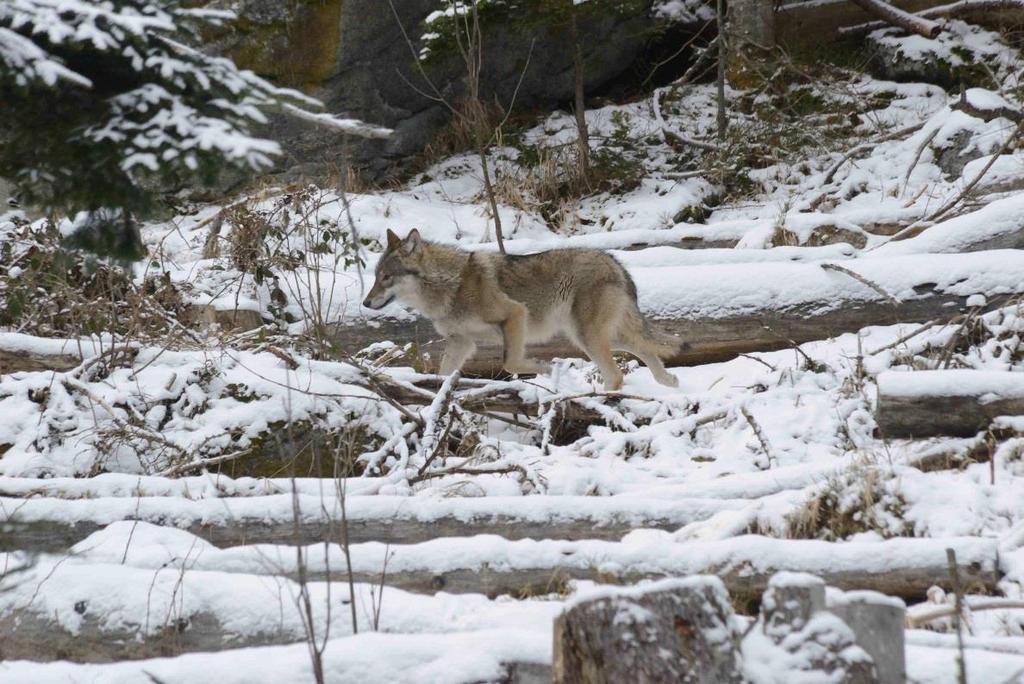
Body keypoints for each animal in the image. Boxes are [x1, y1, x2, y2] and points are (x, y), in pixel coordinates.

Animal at [360, 229, 679, 389]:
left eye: (386, 277)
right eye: (376, 277)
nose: (365, 303)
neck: (450, 285)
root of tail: (614, 260)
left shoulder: (514, 315)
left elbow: (510, 363)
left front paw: (545, 368)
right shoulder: (461, 343)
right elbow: (443, 374)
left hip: (587, 337)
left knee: (616, 375)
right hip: (593, 336)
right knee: (646, 350)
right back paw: (668, 381)